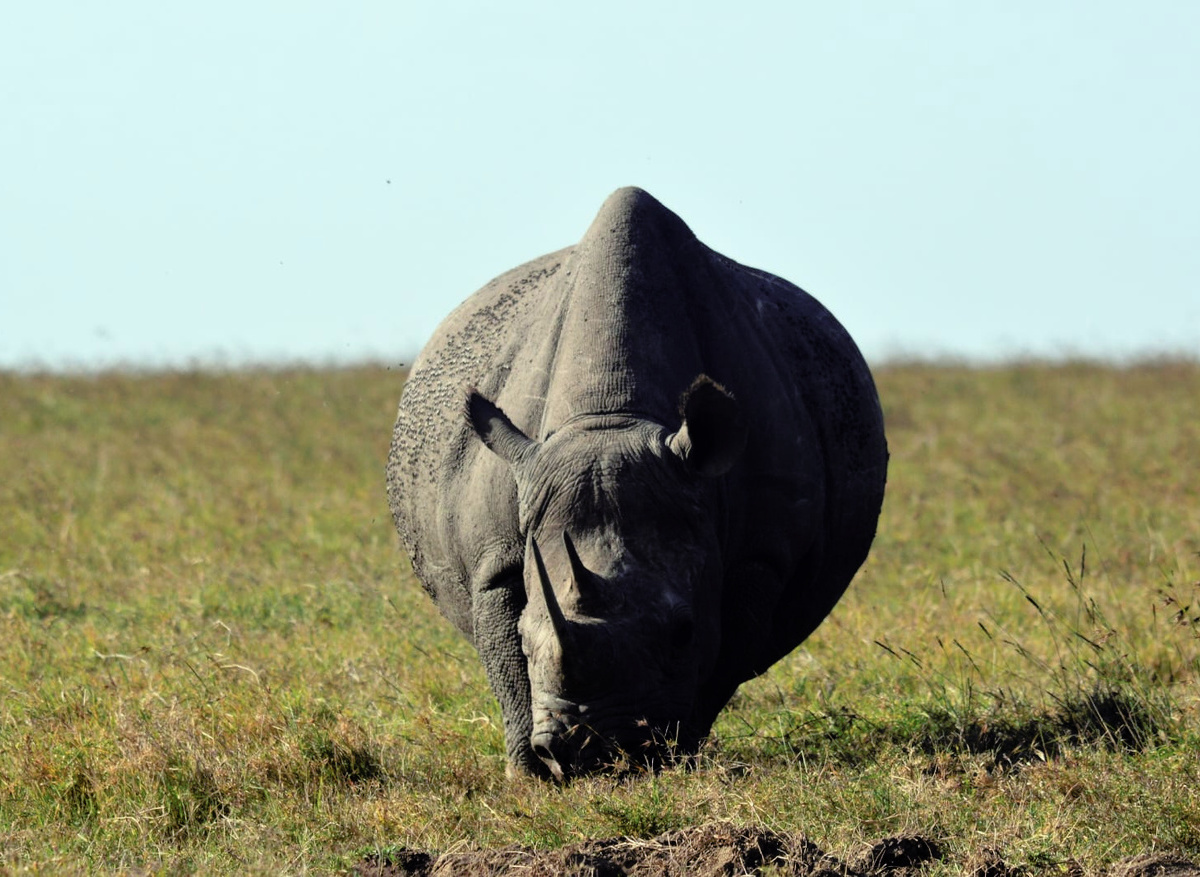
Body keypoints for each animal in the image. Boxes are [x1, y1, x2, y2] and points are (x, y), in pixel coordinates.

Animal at [386, 187, 887, 780]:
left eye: (682, 630)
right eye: (529, 639)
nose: (588, 752)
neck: (610, 417)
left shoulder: (759, 557)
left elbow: (720, 661)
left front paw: (676, 759)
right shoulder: (498, 553)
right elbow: (505, 660)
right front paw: (527, 775)